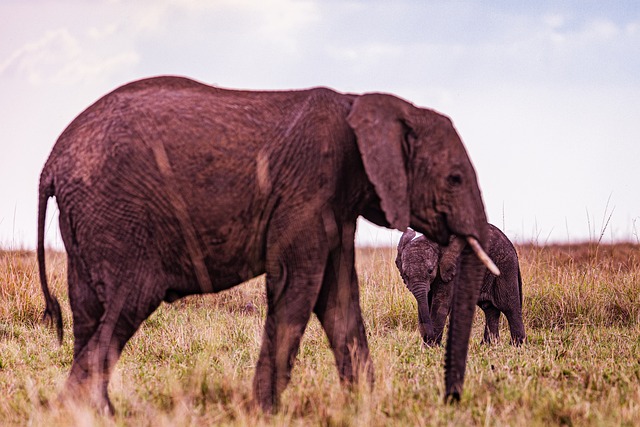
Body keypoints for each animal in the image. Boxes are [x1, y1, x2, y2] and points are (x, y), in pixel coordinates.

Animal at [37, 75, 498, 412]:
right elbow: (300, 287)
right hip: (121, 219)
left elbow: (339, 299)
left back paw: (97, 413)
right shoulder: (307, 192)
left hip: (89, 224)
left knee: (89, 315)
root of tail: (51, 164)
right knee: (124, 307)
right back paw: (73, 412)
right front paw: (263, 412)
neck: (363, 106)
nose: (451, 399)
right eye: (455, 178)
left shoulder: (335, 205)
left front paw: (366, 407)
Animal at [396, 224, 524, 348]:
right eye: (405, 274)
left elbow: (441, 302)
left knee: (509, 307)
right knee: (489, 309)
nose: (429, 337)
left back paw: (516, 346)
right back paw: (488, 346)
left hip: (505, 266)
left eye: (430, 270)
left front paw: (430, 348)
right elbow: (425, 302)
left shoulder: (451, 268)